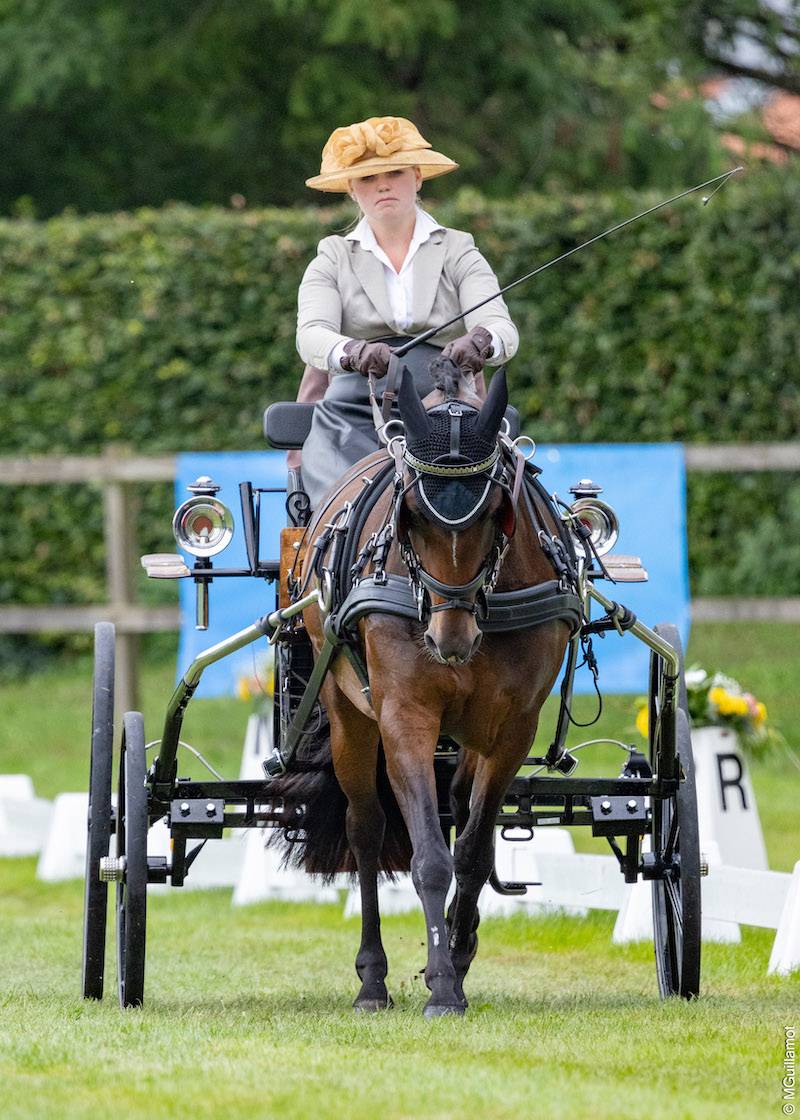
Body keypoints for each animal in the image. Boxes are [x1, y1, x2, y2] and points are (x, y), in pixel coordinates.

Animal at [271, 358, 573, 1017]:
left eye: (497, 510)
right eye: (409, 511)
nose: (448, 637)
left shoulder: (514, 728)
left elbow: (474, 850)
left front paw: (455, 960)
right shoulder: (404, 715)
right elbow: (430, 858)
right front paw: (440, 987)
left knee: (458, 804)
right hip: (349, 716)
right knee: (365, 830)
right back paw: (372, 980)